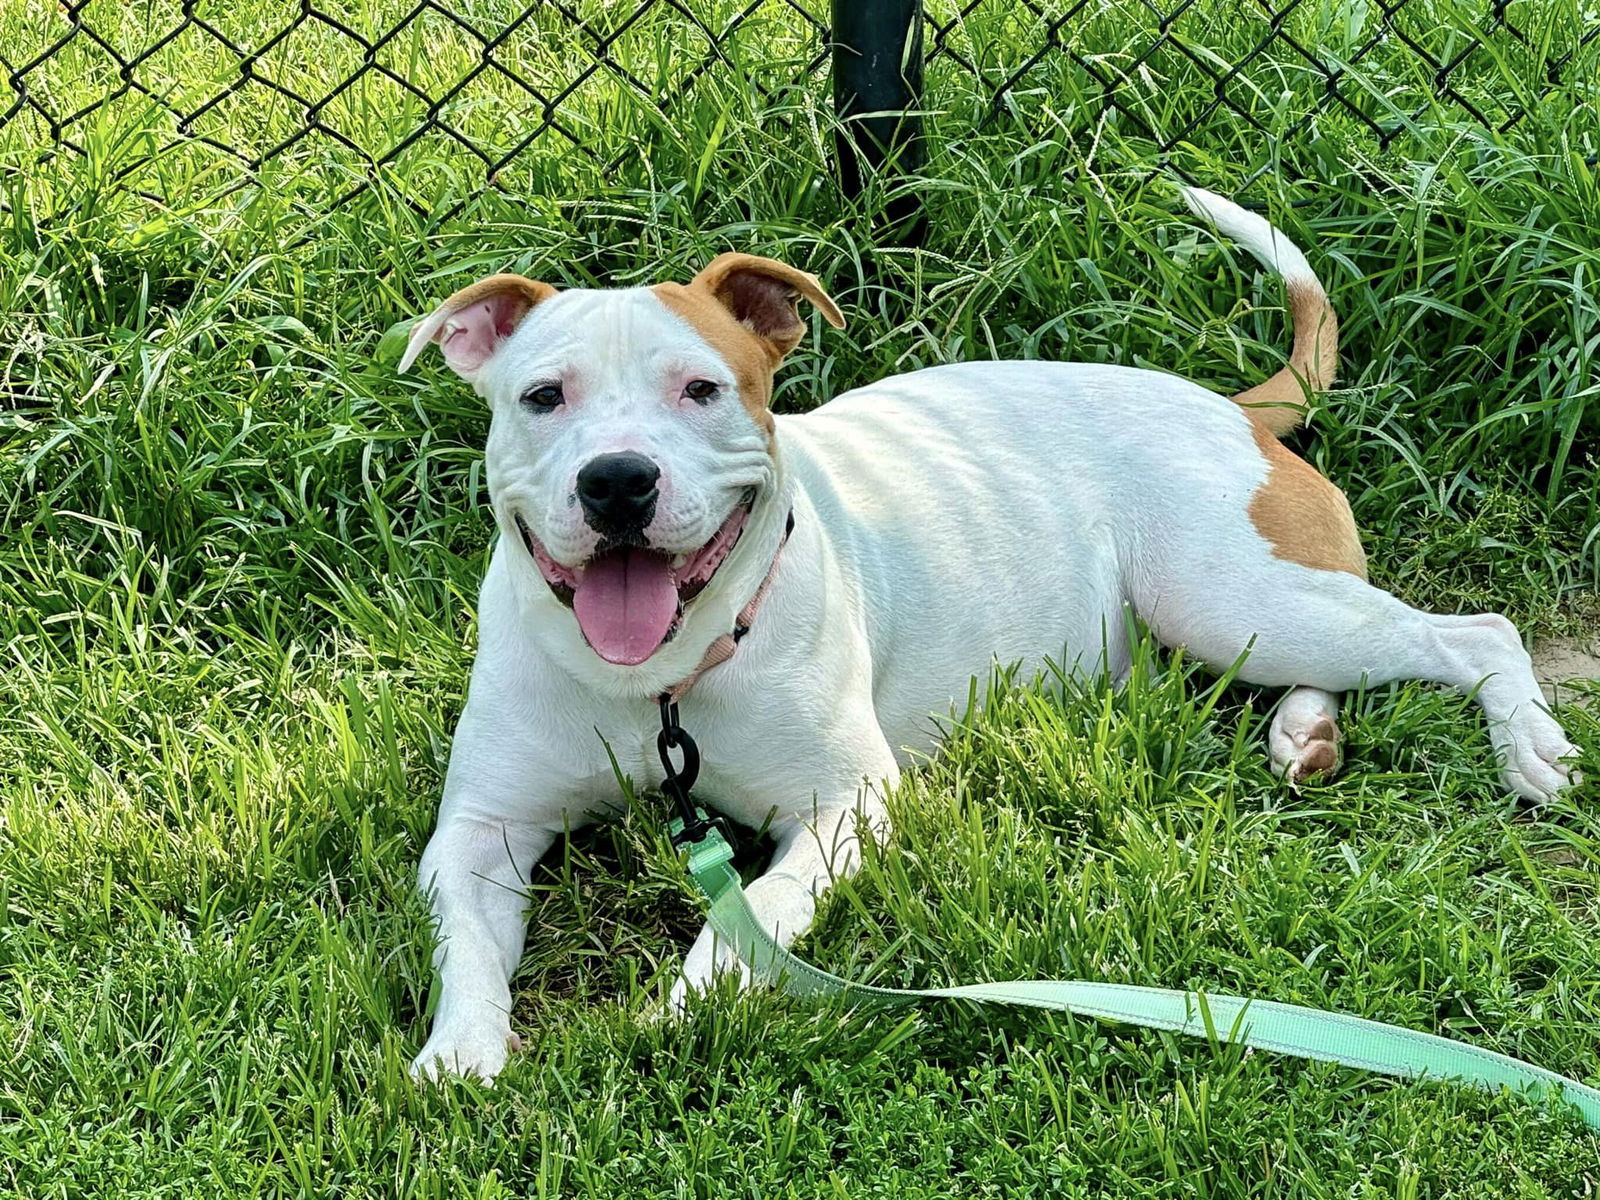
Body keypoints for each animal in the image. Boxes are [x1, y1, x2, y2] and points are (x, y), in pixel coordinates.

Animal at [396, 192, 1574, 1088]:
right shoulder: (480, 832)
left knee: (1472, 633)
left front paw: (688, 1006)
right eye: (542, 396)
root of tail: (1228, 405)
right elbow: (467, 946)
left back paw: (1527, 745)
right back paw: (1304, 737)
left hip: (1226, 592)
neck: (664, 683)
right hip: (1255, 615)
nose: (617, 482)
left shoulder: (845, 807)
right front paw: (459, 1055)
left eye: (703, 389)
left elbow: (754, 911)